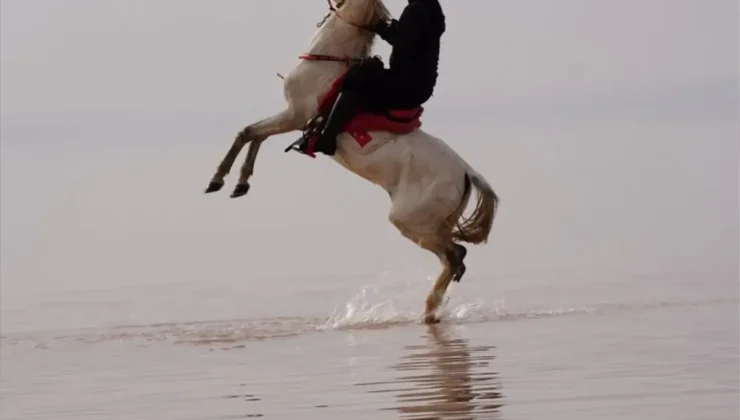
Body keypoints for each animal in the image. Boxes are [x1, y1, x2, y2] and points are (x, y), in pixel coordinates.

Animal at [205, 0, 500, 324]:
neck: (326, 61)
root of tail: (466, 171)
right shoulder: (291, 118)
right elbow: (255, 136)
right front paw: (240, 184)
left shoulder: (294, 116)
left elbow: (247, 133)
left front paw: (218, 180)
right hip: (435, 222)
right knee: (455, 258)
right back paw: (431, 311)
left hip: (411, 220)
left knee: (454, 255)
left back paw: (428, 311)